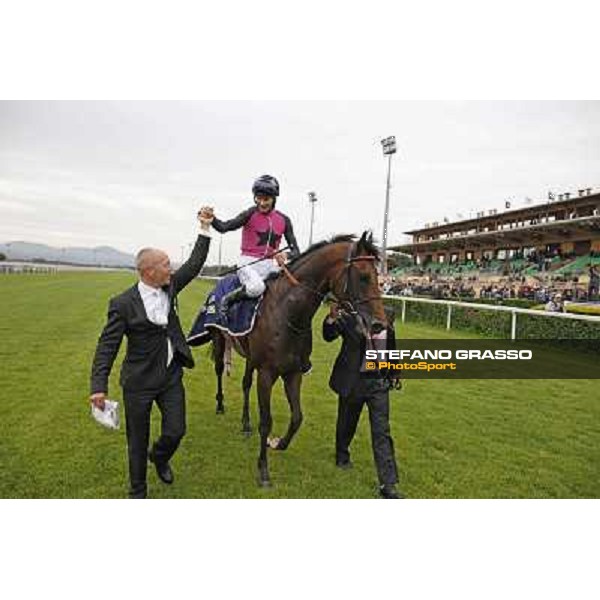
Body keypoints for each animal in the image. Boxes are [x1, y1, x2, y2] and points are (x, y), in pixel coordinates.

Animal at [207, 231, 384, 488]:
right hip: (219, 338)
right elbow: (266, 421)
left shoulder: (293, 372)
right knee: (220, 369)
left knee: (245, 383)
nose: (380, 323)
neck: (288, 314)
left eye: (378, 276)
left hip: (251, 357)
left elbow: (298, 417)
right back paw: (220, 405)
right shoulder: (267, 373)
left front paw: (278, 443)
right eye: (363, 276)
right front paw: (263, 471)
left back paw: (245, 423)